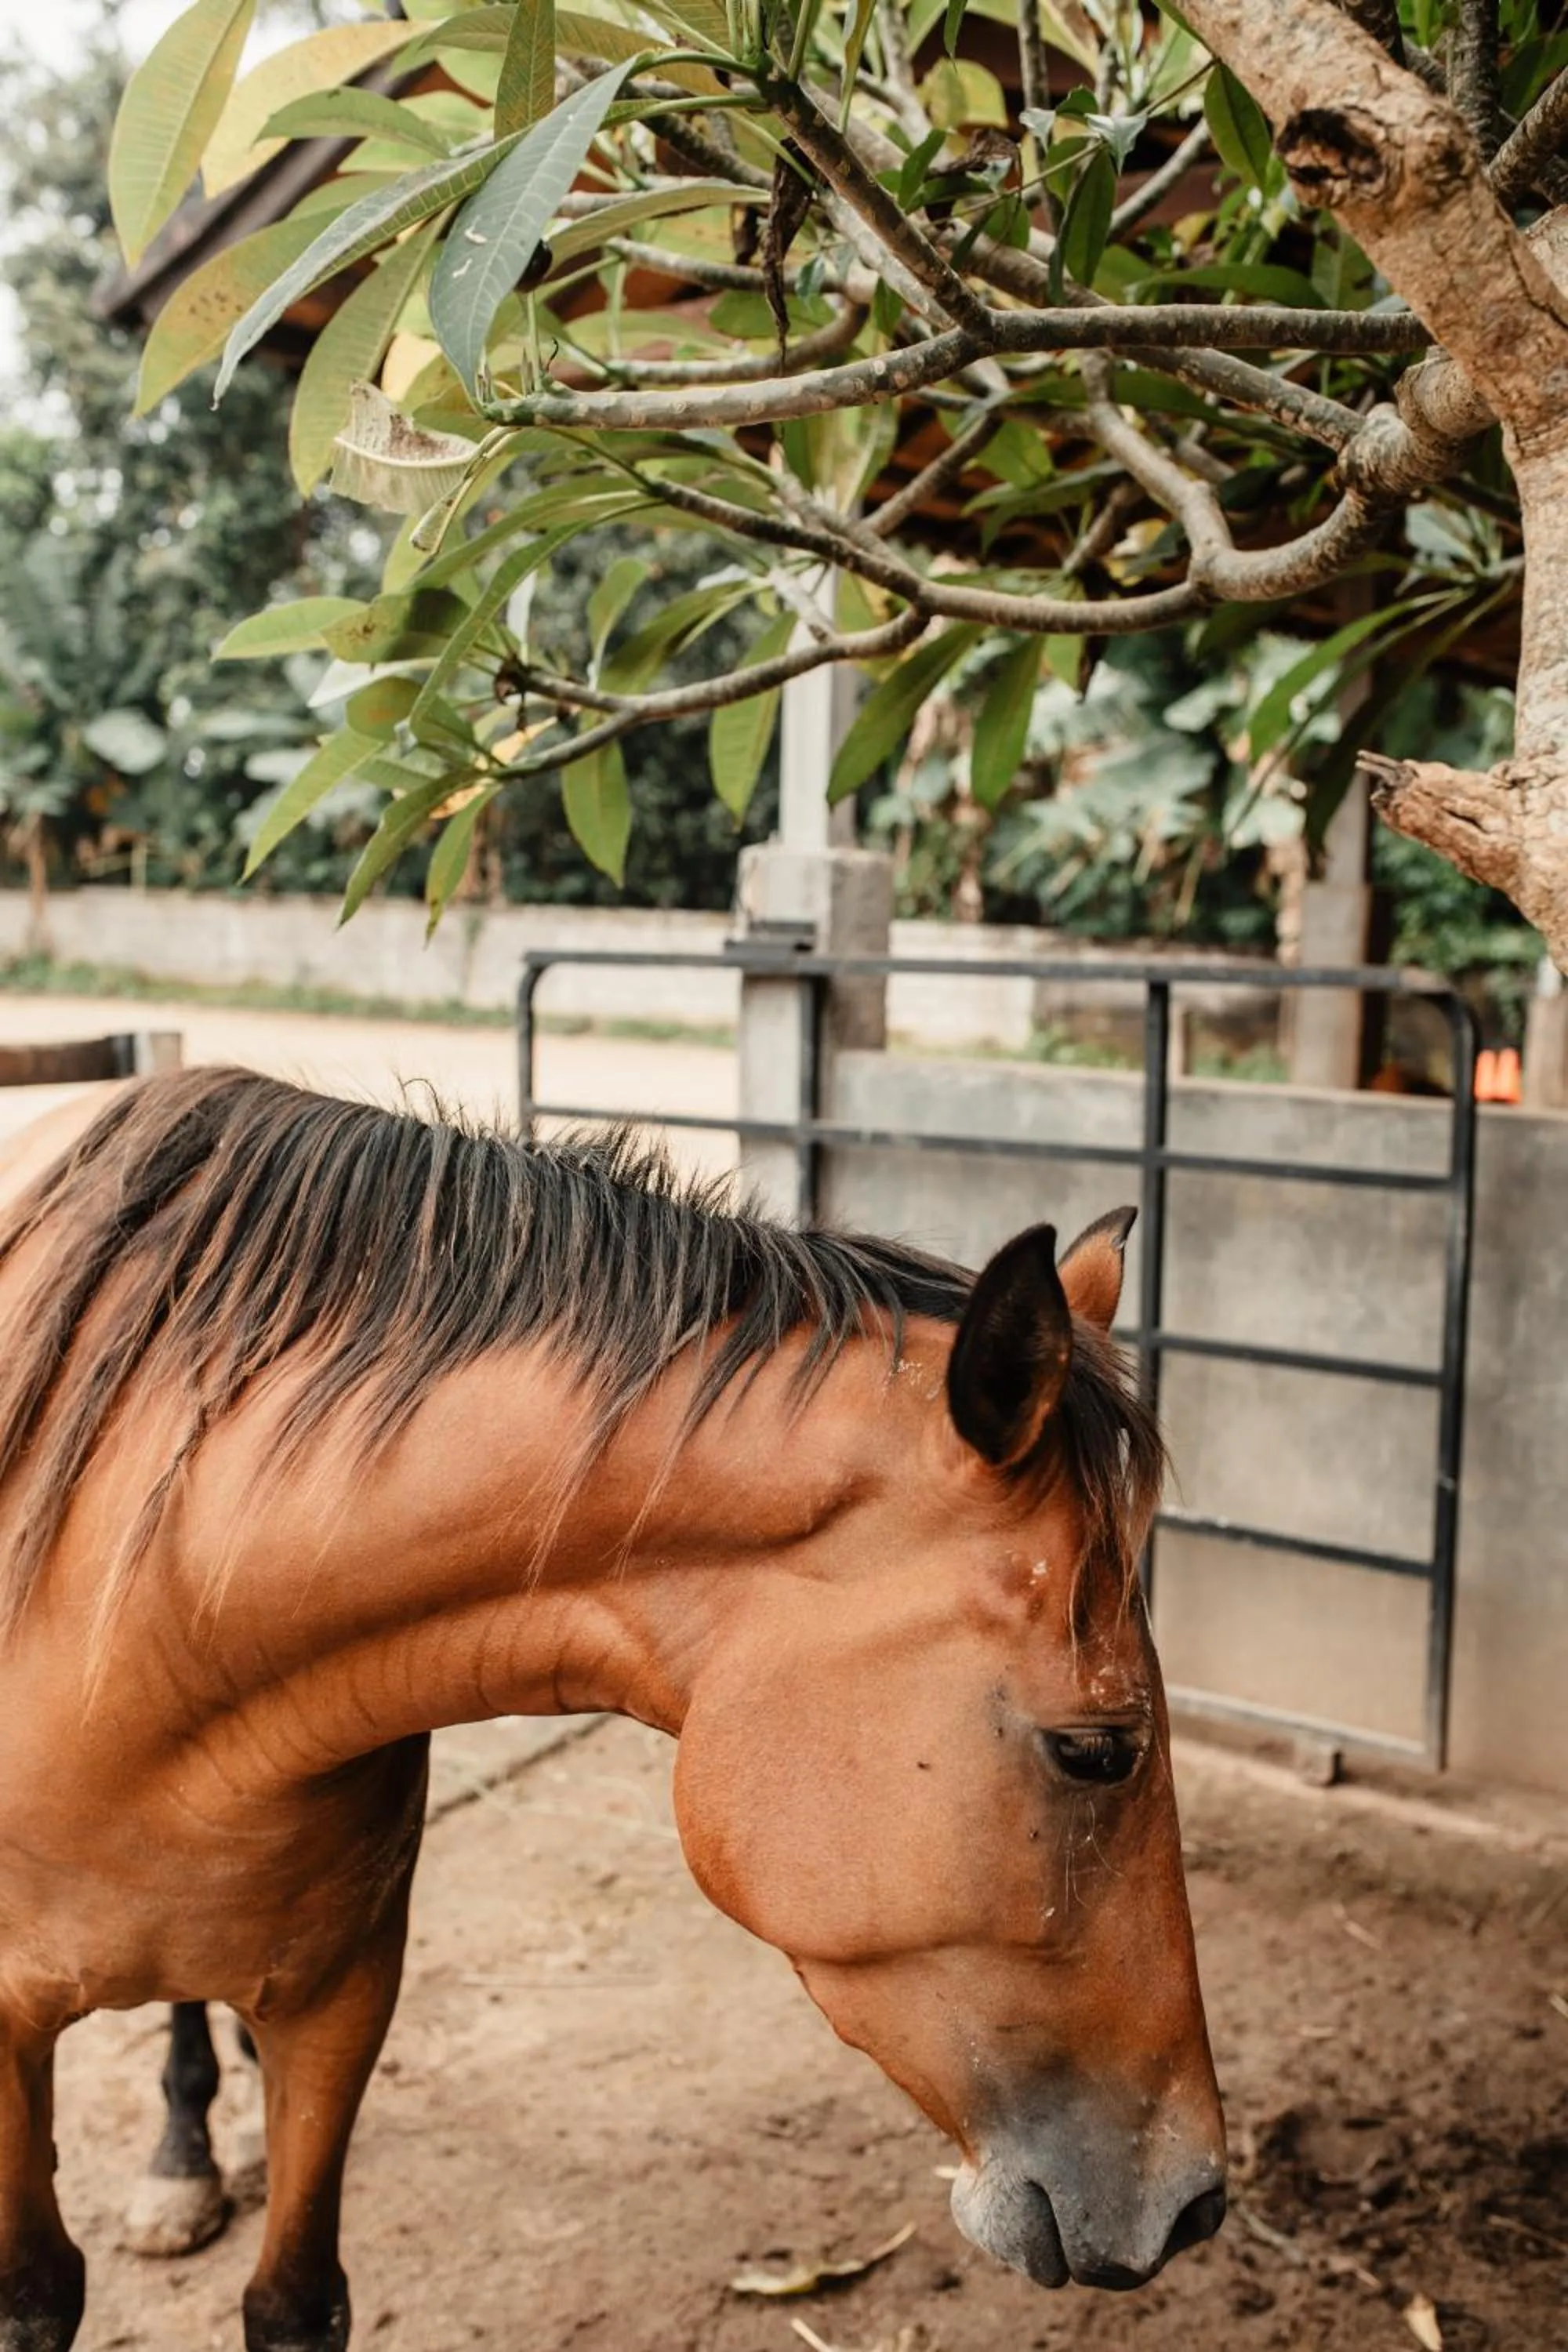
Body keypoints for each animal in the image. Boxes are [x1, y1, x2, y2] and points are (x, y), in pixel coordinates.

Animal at [0, 1066, 1225, 2352]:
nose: (1196, 2202)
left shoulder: (341, 2000)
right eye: (1096, 1751)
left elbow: (295, 2300)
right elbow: (35, 2295)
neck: (145, 1619)